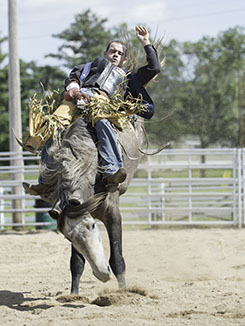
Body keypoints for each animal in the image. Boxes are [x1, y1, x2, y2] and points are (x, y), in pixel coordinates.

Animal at [36, 116, 144, 294]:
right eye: (67, 237)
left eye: (93, 226)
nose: (102, 275)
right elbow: (76, 263)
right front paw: (73, 295)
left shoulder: (113, 214)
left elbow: (117, 259)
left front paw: (123, 293)